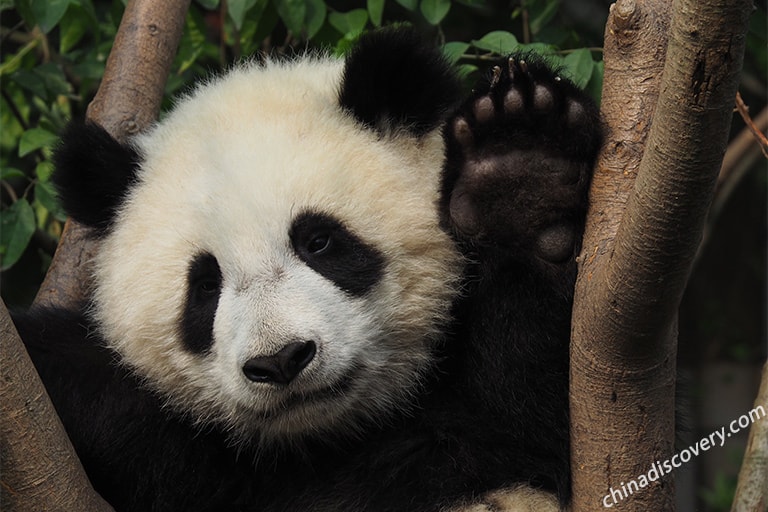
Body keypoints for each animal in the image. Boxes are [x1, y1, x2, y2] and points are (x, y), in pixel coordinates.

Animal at [10, 28, 600, 512]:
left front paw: (520, 170)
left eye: (318, 242)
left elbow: (531, 410)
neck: (329, 436)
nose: (280, 361)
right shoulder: (164, 439)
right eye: (205, 285)